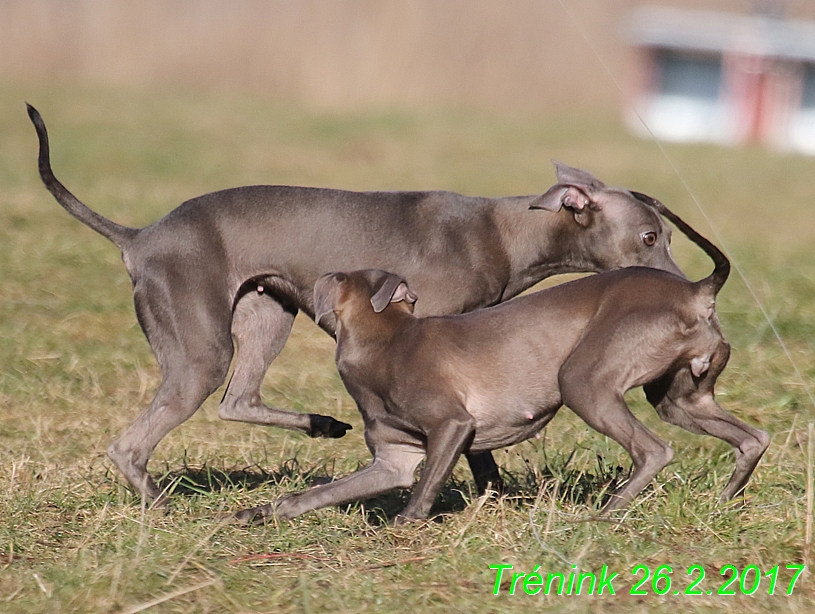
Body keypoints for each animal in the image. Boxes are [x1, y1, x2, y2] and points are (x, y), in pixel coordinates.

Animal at [28, 103, 684, 502]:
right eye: (650, 237)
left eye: (667, 235)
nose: (683, 286)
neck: (504, 233)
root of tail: (139, 237)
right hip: (200, 348)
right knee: (133, 443)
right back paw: (162, 506)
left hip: (268, 314)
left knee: (237, 400)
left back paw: (320, 425)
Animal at [236, 197, 772, 524]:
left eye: (341, 276)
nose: (311, 276)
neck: (388, 342)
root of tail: (697, 291)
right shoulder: (392, 460)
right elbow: (312, 495)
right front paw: (260, 513)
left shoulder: (452, 426)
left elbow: (423, 491)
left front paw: (403, 528)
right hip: (682, 399)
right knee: (752, 438)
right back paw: (722, 501)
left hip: (584, 382)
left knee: (654, 450)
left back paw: (604, 513)